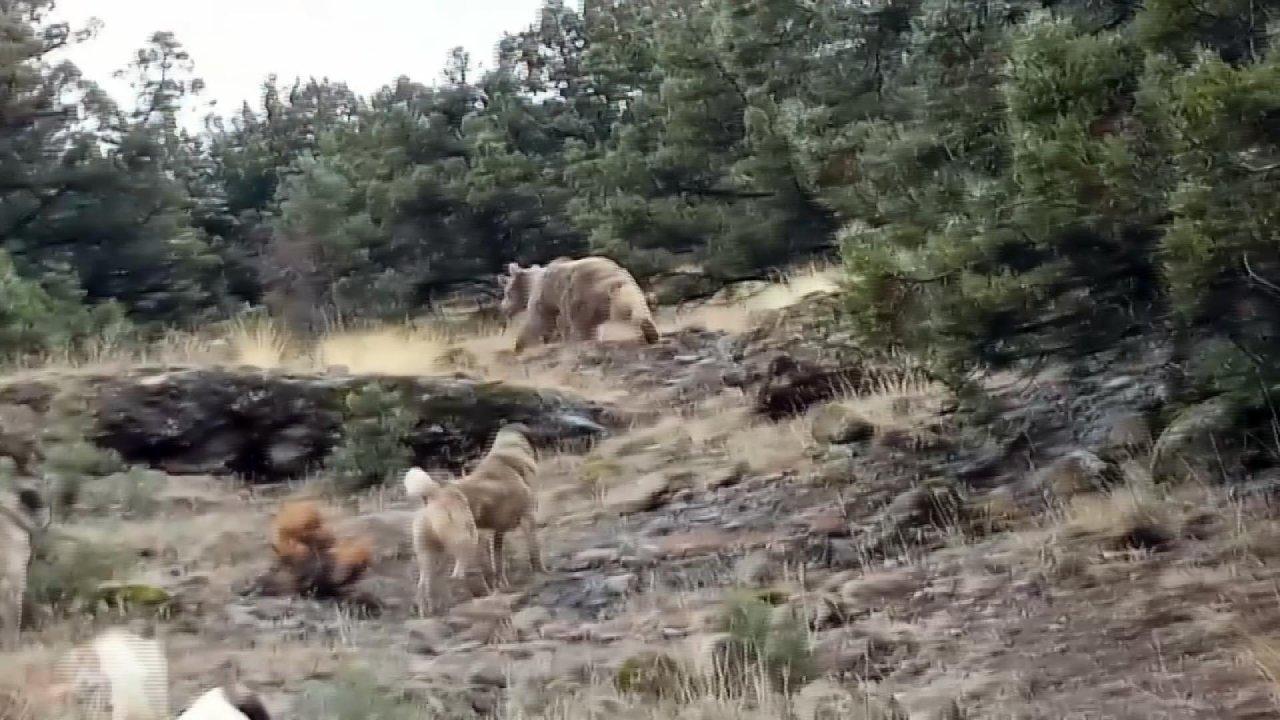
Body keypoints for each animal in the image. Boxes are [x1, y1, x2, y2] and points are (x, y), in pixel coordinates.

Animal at [401, 468, 481, 614]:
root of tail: (434, 495)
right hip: (461, 540)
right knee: (456, 572)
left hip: (427, 553)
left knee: (425, 583)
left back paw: (428, 610)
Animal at [499, 256, 660, 351]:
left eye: (507, 292)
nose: (503, 308)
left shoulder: (544, 295)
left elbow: (539, 322)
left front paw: (520, 345)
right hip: (624, 287)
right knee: (633, 304)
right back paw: (650, 332)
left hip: (581, 296)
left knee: (582, 327)